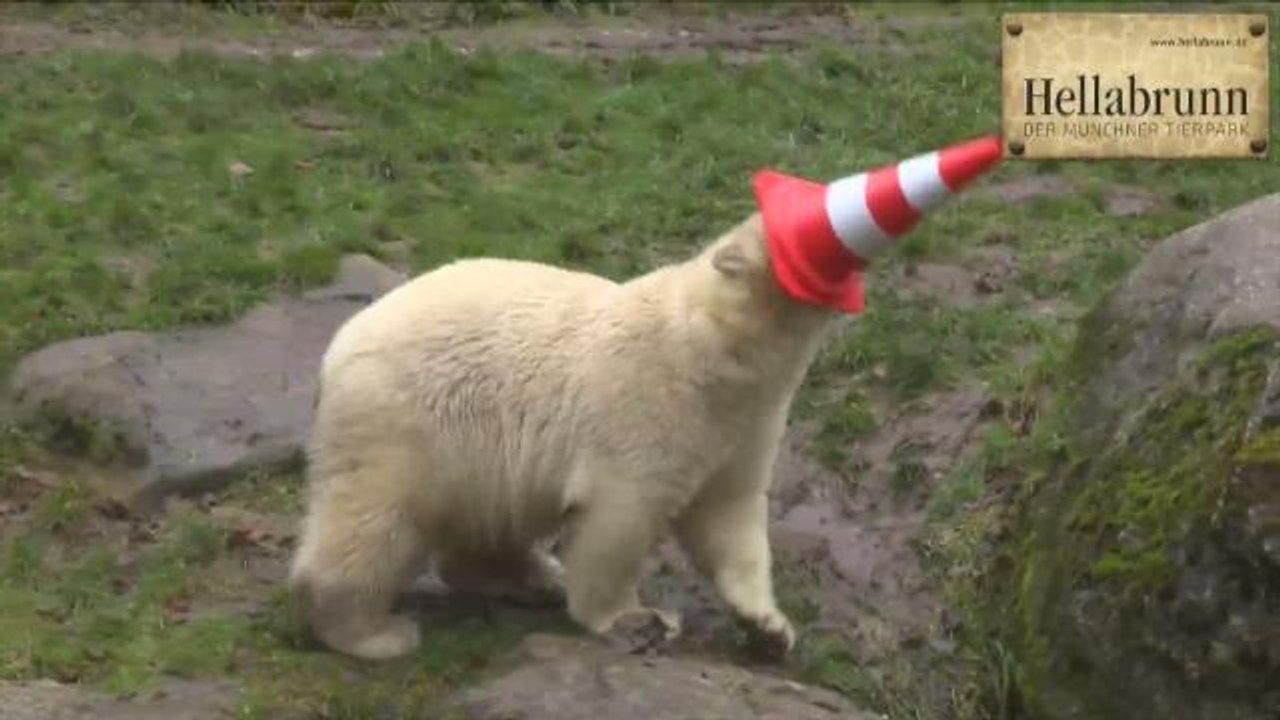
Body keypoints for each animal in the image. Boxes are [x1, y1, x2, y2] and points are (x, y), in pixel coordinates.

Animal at [287, 211, 838, 662]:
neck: (713, 348)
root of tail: (333, 355)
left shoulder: (745, 423)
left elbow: (729, 517)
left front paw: (769, 628)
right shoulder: (648, 401)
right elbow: (620, 516)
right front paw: (636, 620)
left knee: (487, 518)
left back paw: (532, 576)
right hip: (405, 423)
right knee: (375, 523)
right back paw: (374, 632)